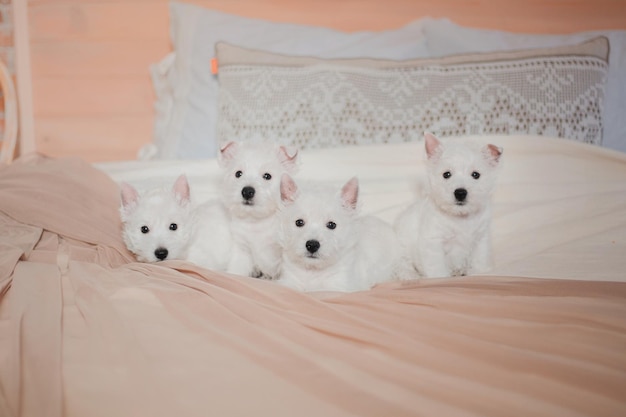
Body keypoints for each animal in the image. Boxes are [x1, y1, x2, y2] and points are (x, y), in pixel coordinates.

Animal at [218, 140, 298, 280]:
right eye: (238, 174)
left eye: (267, 176)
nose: (247, 191)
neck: (257, 222)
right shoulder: (243, 250)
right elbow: (237, 270)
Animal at [394, 132, 502, 278]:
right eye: (446, 174)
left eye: (476, 175)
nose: (460, 193)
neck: (461, 217)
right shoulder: (434, 242)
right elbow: (437, 268)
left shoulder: (481, 238)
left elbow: (480, 260)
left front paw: (481, 272)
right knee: (403, 266)